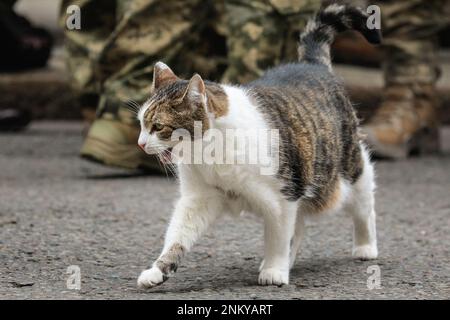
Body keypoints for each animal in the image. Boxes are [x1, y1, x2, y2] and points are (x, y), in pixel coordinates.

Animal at [134, 3, 380, 288]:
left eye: (158, 126)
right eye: (141, 123)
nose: (140, 143)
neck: (209, 154)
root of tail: (311, 65)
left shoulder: (282, 198)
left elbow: (277, 238)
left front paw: (274, 270)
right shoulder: (199, 198)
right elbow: (177, 237)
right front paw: (158, 269)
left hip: (348, 171)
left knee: (363, 206)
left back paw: (365, 246)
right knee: (299, 225)